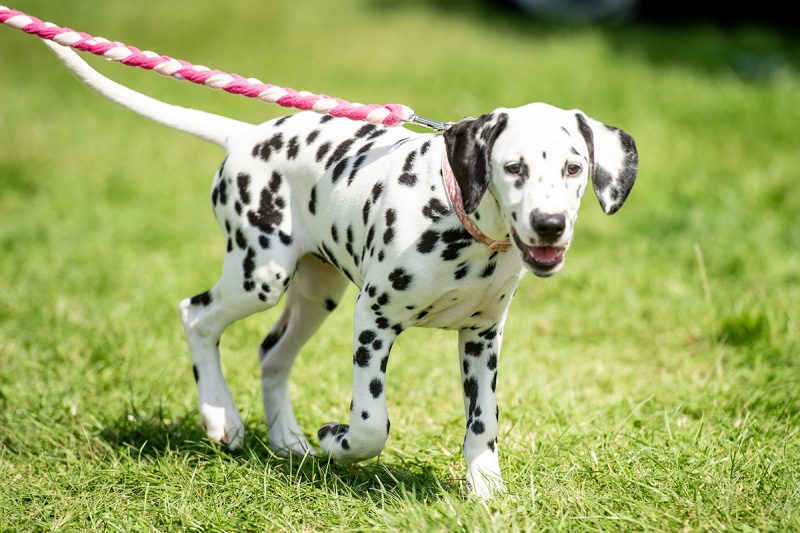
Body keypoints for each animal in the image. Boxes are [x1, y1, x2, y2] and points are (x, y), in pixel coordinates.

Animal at [48, 41, 636, 498]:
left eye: (574, 167)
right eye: (513, 167)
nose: (549, 224)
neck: (461, 223)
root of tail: (244, 136)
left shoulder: (482, 337)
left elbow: (482, 421)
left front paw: (486, 490)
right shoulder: (373, 320)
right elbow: (371, 423)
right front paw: (339, 439)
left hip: (316, 293)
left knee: (271, 354)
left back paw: (286, 439)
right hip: (260, 275)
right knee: (196, 316)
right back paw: (221, 416)